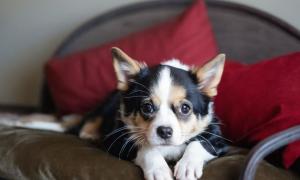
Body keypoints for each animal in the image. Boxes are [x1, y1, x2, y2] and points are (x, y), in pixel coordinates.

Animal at [0, 47, 227, 180]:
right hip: (106, 104)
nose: (164, 131)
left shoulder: (218, 138)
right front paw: (159, 170)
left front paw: (187, 166)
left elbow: (199, 143)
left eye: (185, 108)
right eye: (147, 107)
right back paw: (90, 133)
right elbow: (145, 147)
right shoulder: (118, 138)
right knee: (85, 124)